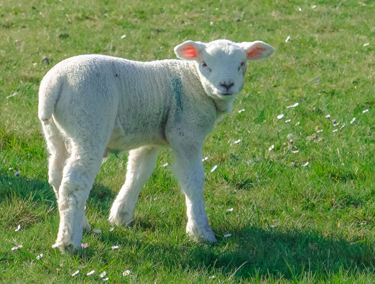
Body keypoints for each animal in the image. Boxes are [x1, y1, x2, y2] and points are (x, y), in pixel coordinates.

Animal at [38, 38, 274, 253]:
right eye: (205, 63)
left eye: (242, 63)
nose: (226, 85)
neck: (194, 82)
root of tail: (55, 83)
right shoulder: (186, 133)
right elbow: (193, 180)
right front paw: (201, 233)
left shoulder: (149, 140)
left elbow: (138, 173)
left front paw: (121, 216)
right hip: (89, 126)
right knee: (74, 183)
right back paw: (69, 242)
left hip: (55, 133)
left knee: (57, 176)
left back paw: (82, 225)